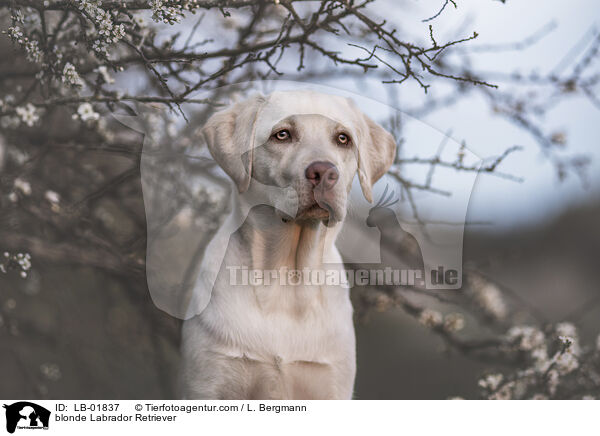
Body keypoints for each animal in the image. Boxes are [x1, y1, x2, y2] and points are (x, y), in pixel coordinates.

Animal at [180, 88, 396, 398]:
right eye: (282, 135)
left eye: (343, 138)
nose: (325, 173)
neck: (286, 280)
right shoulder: (209, 382)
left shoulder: (332, 383)